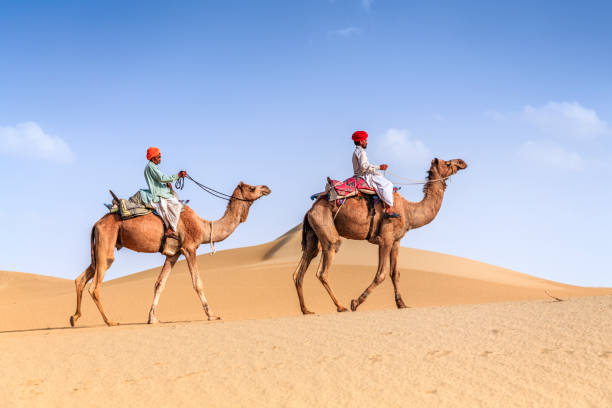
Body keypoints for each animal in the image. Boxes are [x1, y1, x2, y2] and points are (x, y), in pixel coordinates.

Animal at [69, 183, 270, 326]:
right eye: (252, 188)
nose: (266, 188)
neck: (204, 226)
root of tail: (97, 223)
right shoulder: (189, 247)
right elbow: (197, 282)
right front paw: (212, 315)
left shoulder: (173, 254)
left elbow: (160, 283)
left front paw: (152, 318)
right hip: (106, 244)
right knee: (95, 286)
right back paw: (110, 321)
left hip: (99, 248)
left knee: (81, 279)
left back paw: (74, 317)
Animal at [294, 158, 466, 314]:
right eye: (447, 163)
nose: (462, 162)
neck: (409, 211)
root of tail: (310, 210)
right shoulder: (386, 239)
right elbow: (381, 274)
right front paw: (355, 302)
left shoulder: (396, 241)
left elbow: (395, 273)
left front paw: (402, 304)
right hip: (325, 226)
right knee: (324, 267)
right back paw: (341, 306)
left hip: (314, 233)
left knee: (302, 267)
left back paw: (306, 310)